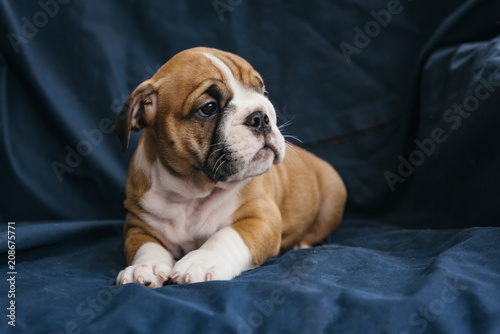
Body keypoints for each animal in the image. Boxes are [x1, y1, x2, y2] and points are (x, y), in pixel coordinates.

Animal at [114, 46, 346, 288]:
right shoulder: (137, 223)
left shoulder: (261, 217)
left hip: (332, 197)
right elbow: (145, 245)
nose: (260, 117)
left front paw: (202, 261)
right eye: (208, 108)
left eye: (263, 92)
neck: (194, 191)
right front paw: (144, 267)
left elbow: (226, 236)